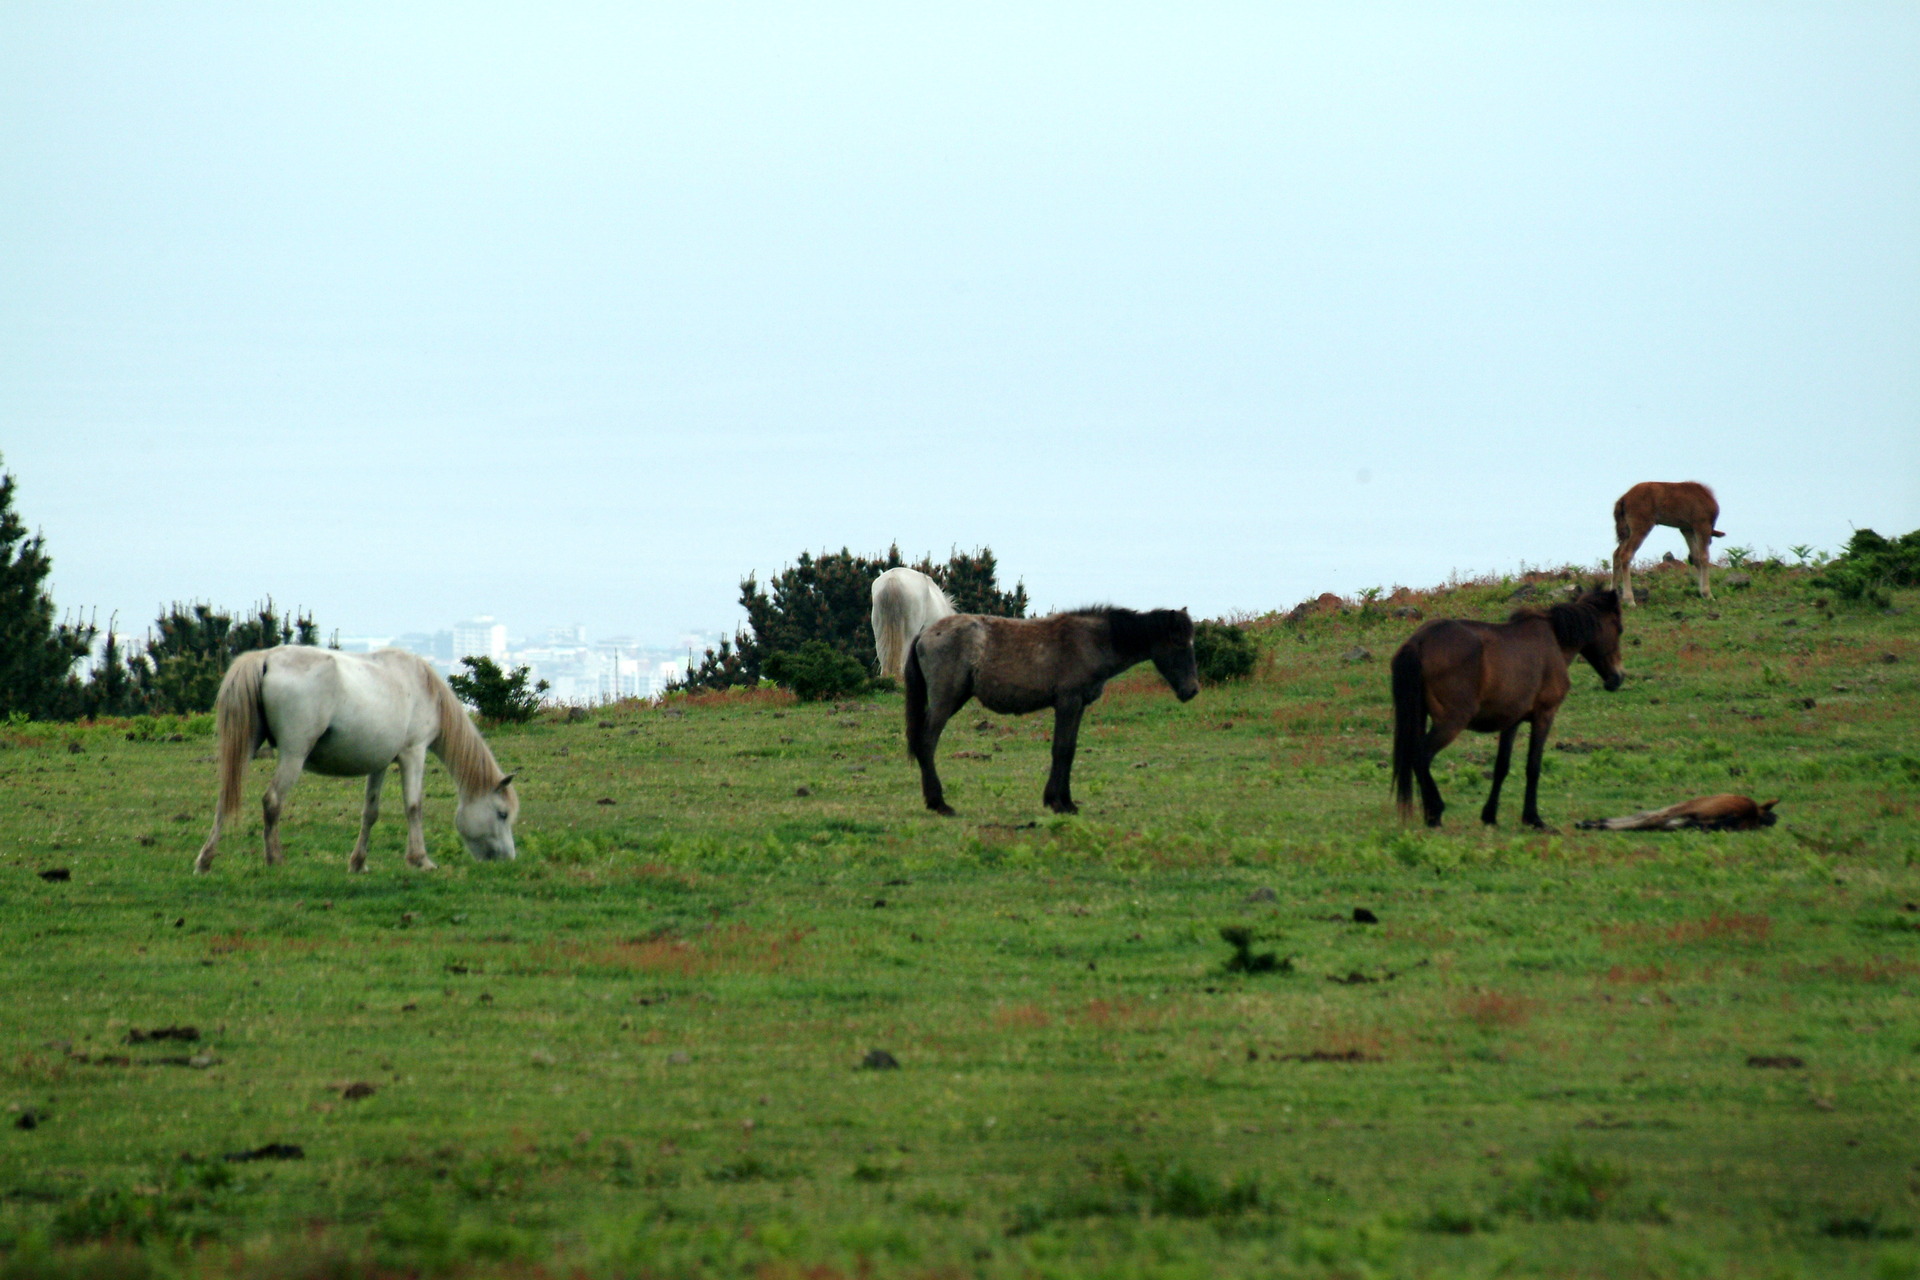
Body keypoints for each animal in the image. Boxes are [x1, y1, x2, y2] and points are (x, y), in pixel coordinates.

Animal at [192, 644, 518, 875]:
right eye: (502, 814)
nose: (508, 859)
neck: (422, 687)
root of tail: (266, 658)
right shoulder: (414, 753)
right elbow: (414, 807)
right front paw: (420, 860)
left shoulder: (380, 764)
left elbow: (370, 812)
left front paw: (358, 863)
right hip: (294, 755)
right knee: (272, 801)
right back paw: (275, 860)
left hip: (245, 747)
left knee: (225, 798)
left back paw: (205, 861)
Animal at [1390, 591, 1628, 832]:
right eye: (1619, 628)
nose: (1617, 678)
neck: (1553, 640)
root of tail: (1420, 640)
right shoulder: (1544, 715)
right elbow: (1533, 766)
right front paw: (1533, 818)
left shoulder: (1511, 721)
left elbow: (1501, 766)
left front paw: (1489, 815)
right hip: (1451, 722)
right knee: (1421, 755)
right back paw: (1435, 812)